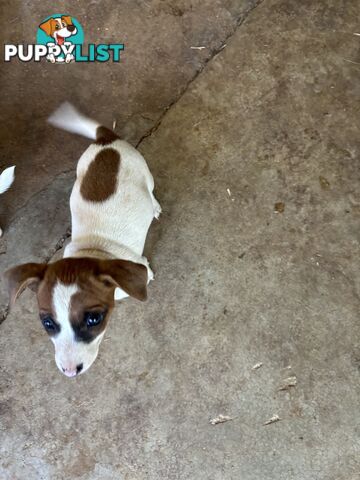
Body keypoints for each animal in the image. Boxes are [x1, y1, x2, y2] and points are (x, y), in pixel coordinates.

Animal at [3, 103, 160, 376]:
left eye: (93, 319)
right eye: (47, 323)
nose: (68, 371)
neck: (93, 249)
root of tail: (105, 139)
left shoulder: (143, 270)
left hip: (145, 173)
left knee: (150, 191)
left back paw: (154, 206)